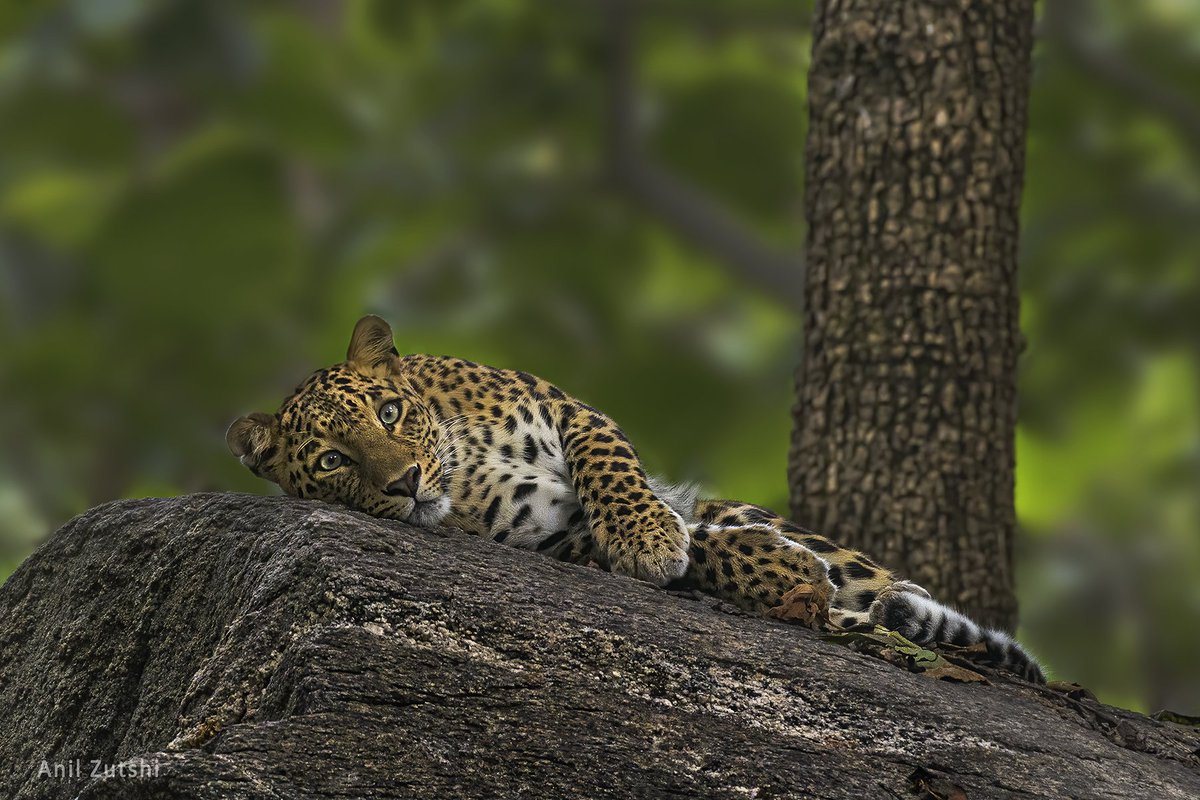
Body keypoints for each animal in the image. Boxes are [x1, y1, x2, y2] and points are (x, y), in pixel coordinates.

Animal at [229, 314, 1046, 681]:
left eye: (390, 413)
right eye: (334, 461)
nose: (403, 482)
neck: (462, 463)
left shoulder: (572, 412)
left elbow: (614, 474)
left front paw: (650, 534)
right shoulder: (547, 531)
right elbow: (699, 552)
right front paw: (761, 569)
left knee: (880, 586)